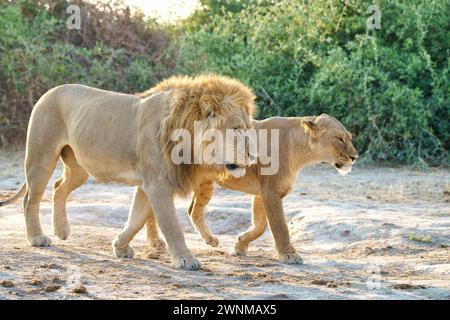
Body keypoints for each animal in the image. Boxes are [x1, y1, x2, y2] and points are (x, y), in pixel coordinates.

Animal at [0, 74, 255, 270]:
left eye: (247, 129)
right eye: (236, 129)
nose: (253, 156)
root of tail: (48, 92)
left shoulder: (147, 185)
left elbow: (136, 219)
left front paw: (120, 248)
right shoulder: (157, 185)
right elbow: (171, 225)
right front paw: (186, 260)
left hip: (79, 167)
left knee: (58, 188)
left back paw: (62, 231)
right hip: (41, 157)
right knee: (30, 199)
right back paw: (37, 238)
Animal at [146, 114, 356, 264]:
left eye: (349, 138)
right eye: (339, 138)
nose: (355, 157)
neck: (301, 151)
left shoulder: (262, 193)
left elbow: (260, 225)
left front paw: (240, 245)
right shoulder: (270, 192)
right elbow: (280, 226)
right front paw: (289, 255)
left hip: (205, 184)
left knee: (192, 211)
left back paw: (210, 239)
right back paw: (155, 241)